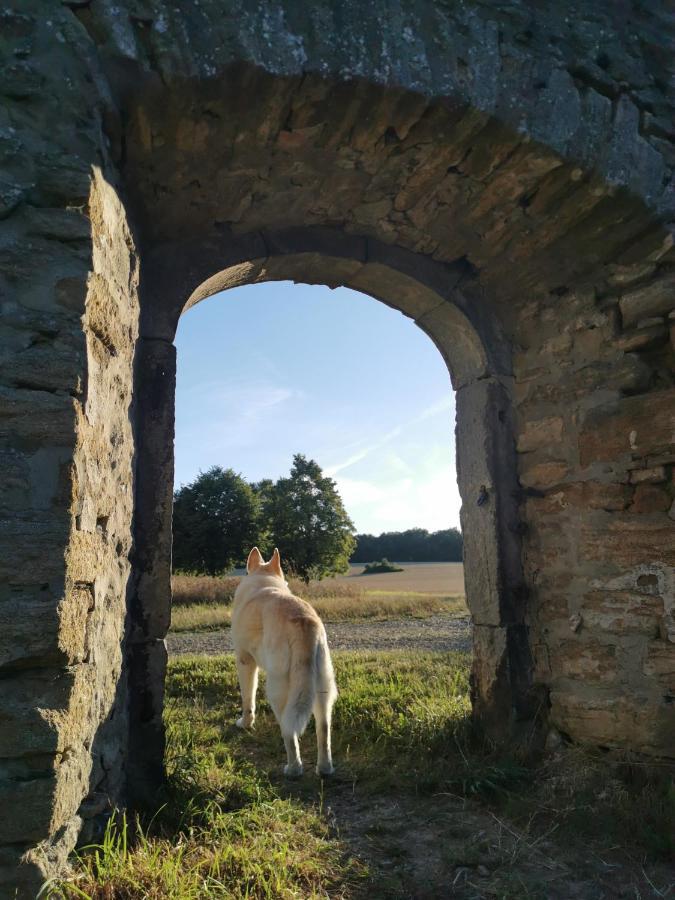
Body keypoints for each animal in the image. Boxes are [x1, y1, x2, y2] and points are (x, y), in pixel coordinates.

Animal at [231, 544, 338, 776]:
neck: (264, 580)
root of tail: (304, 622)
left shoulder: (245, 662)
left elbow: (248, 699)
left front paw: (245, 723)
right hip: (322, 689)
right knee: (324, 729)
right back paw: (325, 768)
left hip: (278, 690)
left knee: (289, 732)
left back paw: (293, 769)